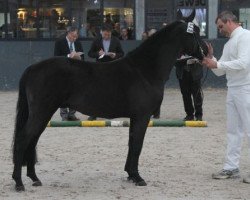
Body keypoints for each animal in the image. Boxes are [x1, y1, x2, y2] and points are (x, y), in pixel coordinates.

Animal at [11, 12, 207, 191]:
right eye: (195, 33)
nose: (206, 53)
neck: (144, 70)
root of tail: (32, 68)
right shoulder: (142, 116)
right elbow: (137, 145)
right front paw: (137, 177)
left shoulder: (135, 117)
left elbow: (131, 143)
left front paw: (130, 174)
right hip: (41, 112)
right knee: (23, 140)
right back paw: (19, 183)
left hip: (43, 115)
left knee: (32, 141)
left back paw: (34, 178)